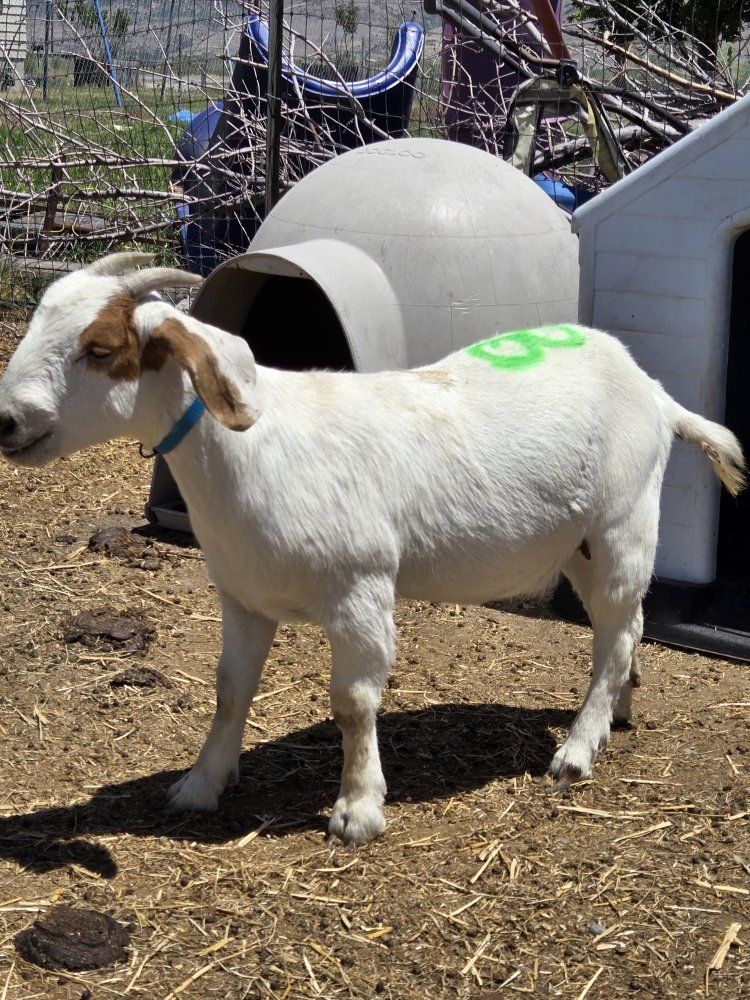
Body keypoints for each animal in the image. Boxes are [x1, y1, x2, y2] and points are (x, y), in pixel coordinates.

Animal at [0, 254, 744, 844]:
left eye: (100, 349)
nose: (6, 420)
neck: (256, 449)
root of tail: (654, 392)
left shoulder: (360, 588)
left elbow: (354, 703)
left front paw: (357, 811)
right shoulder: (242, 594)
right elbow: (229, 691)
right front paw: (200, 785)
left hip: (624, 519)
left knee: (617, 632)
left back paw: (578, 751)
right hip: (579, 544)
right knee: (626, 627)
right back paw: (618, 709)